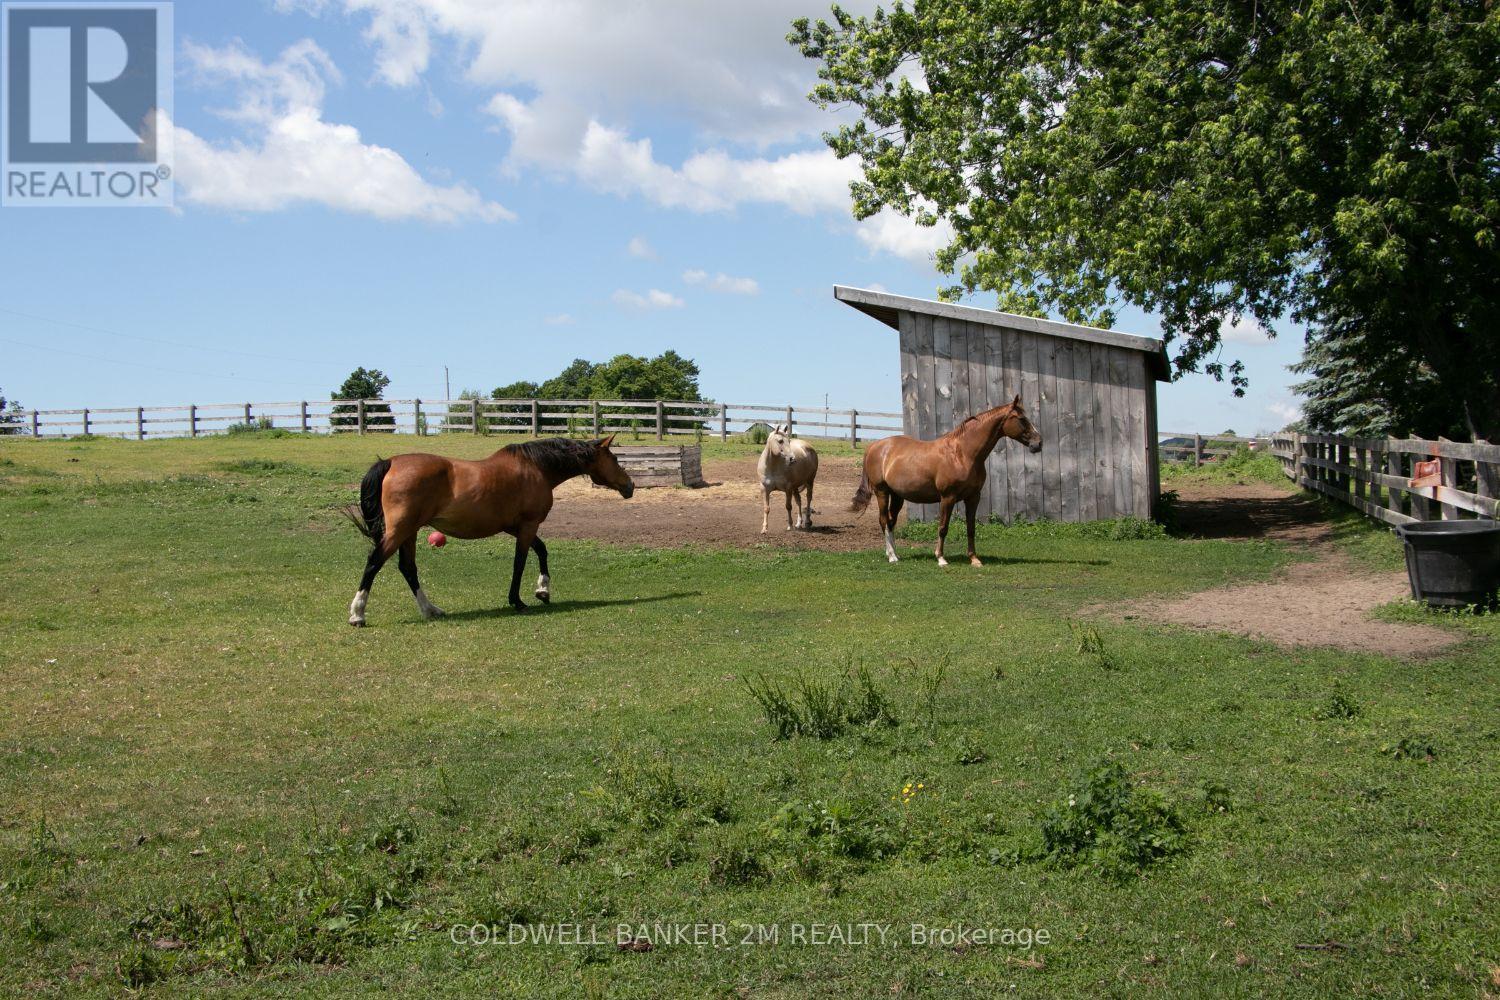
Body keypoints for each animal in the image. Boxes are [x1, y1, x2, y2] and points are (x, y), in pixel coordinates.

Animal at [343, 437, 633, 626]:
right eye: (616, 458)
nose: (630, 485)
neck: (536, 467)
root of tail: (391, 462)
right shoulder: (528, 525)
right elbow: (520, 562)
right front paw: (518, 600)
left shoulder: (516, 527)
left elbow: (541, 550)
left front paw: (543, 591)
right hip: (400, 530)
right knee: (374, 562)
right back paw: (358, 614)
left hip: (410, 532)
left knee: (408, 568)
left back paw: (430, 610)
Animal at [852, 398, 1050, 569]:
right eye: (1022, 419)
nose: (1038, 443)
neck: (962, 454)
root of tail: (875, 446)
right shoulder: (948, 497)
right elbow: (943, 527)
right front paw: (941, 558)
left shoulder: (973, 497)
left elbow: (971, 528)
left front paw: (974, 559)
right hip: (882, 492)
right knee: (884, 521)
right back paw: (892, 556)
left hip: (897, 496)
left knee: (891, 522)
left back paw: (894, 554)